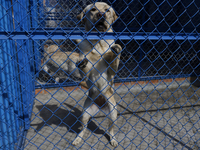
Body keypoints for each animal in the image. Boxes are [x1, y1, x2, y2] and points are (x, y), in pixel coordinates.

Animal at [72, 2, 122, 148]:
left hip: (113, 113)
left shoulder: (112, 71)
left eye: (107, 10)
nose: (101, 14)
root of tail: (100, 104)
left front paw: (116, 50)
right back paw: (78, 138)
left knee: (111, 129)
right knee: (83, 128)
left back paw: (113, 139)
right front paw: (81, 62)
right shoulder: (86, 72)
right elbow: (83, 64)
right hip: (84, 114)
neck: (97, 43)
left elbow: (115, 57)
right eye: (93, 9)